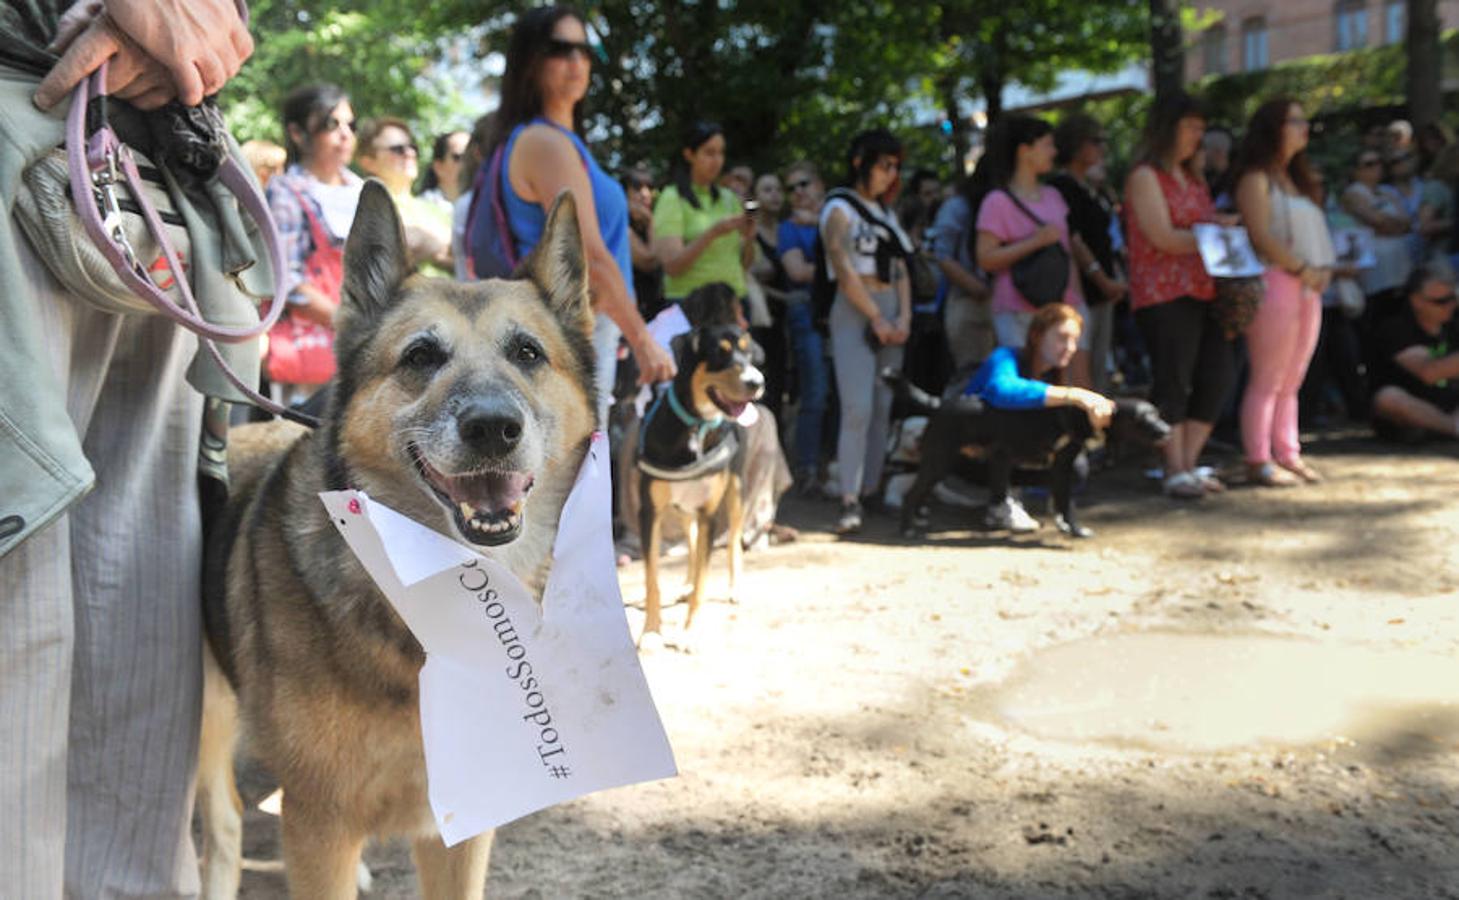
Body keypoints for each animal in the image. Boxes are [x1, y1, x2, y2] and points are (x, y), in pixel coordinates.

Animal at [196, 178, 595, 892]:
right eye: (421, 356)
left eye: (527, 353)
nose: (493, 428)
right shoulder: (320, 825)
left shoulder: (460, 827)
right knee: (223, 819)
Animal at [639, 284, 764, 641]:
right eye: (719, 353)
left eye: (748, 354)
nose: (757, 382)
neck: (697, 425)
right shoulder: (650, 511)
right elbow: (652, 577)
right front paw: (651, 632)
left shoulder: (709, 510)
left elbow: (705, 577)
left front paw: (690, 633)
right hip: (682, 507)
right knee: (693, 544)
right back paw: (684, 585)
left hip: (735, 491)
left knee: (733, 540)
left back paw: (734, 588)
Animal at [875, 369, 1173, 536]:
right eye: (1144, 418)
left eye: (1157, 413)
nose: (1167, 429)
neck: (1082, 415)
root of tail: (940, 404)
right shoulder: (1063, 466)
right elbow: (1067, 503)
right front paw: (1076, 530)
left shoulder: (1055, 469)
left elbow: (1062, 499)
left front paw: (1064, 524)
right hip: (939, 462)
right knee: (911, 495)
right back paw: (907, 529)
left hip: (938, 465)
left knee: (919, 493)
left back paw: (917, 520)